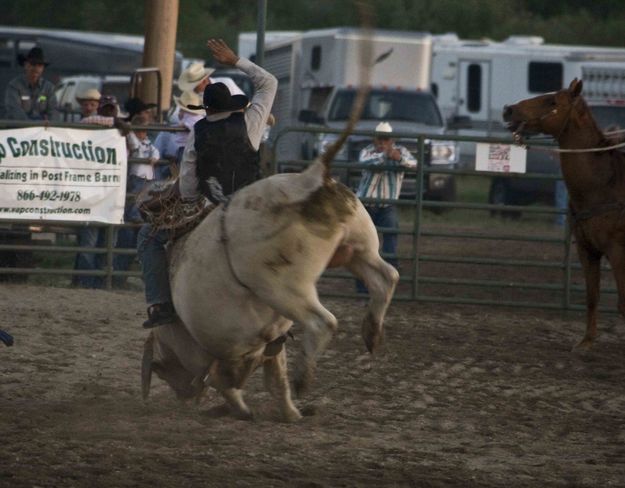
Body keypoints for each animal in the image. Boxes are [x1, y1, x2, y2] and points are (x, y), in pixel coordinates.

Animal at [502, 78, 624, 348]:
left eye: (552, 101)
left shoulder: (618, 251)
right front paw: (586, 342)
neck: (605, 182)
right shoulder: (587, 250)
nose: (508, 109)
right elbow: (592, 295)